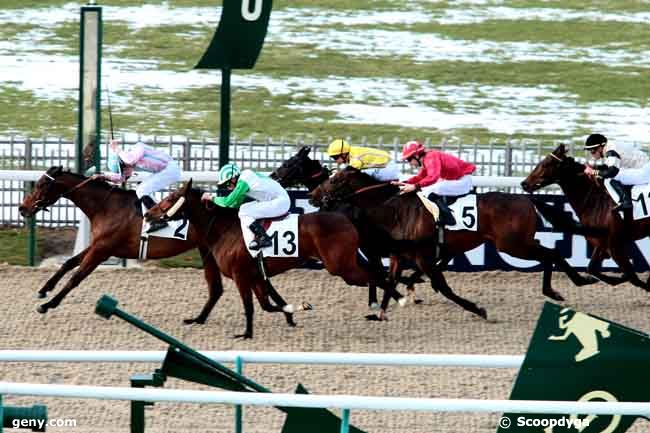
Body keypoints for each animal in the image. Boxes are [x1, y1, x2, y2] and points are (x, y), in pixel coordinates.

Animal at [18, 165, 235, 324]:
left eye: (41, 185)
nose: (22, 208)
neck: (106, 206)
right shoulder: (98, 245)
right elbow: (68, 263)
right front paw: (44, 289)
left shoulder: (102, 250)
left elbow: (76, 277)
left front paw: (48, 305)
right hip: (207, 250)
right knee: (216, 288)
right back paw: (199, 319)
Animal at [144, 179, 402, 338]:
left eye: (171, 198)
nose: (148, 214)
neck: (225, 229)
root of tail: (346, 219)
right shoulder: (256, 276)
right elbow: (267, 305)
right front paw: (294, 310)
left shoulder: (241, 275)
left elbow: (250, 306)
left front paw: (246, 333)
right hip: (346, 263)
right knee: (375, 274)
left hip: (341, 267)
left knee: (375, 276)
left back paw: (396, 301)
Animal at [310, 164, 596, 316]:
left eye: (333, 180)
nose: (313, 197)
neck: (394, 209)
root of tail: (527, 199)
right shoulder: (399, 256)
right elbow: (390, 280)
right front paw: (383, 311)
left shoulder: (423, 257)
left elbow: (442, 286)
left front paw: (477, 309)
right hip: (517, 243)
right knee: (550, 254)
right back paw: (568, 284)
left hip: (513, 244)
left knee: (551, 254)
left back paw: (570, 283)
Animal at [520, 143, 648, 288]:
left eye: (545, 164)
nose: (524, 183)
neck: (595, 200)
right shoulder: (602, 243)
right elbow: (592, 268)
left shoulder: (614, 245)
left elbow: (633, 277)